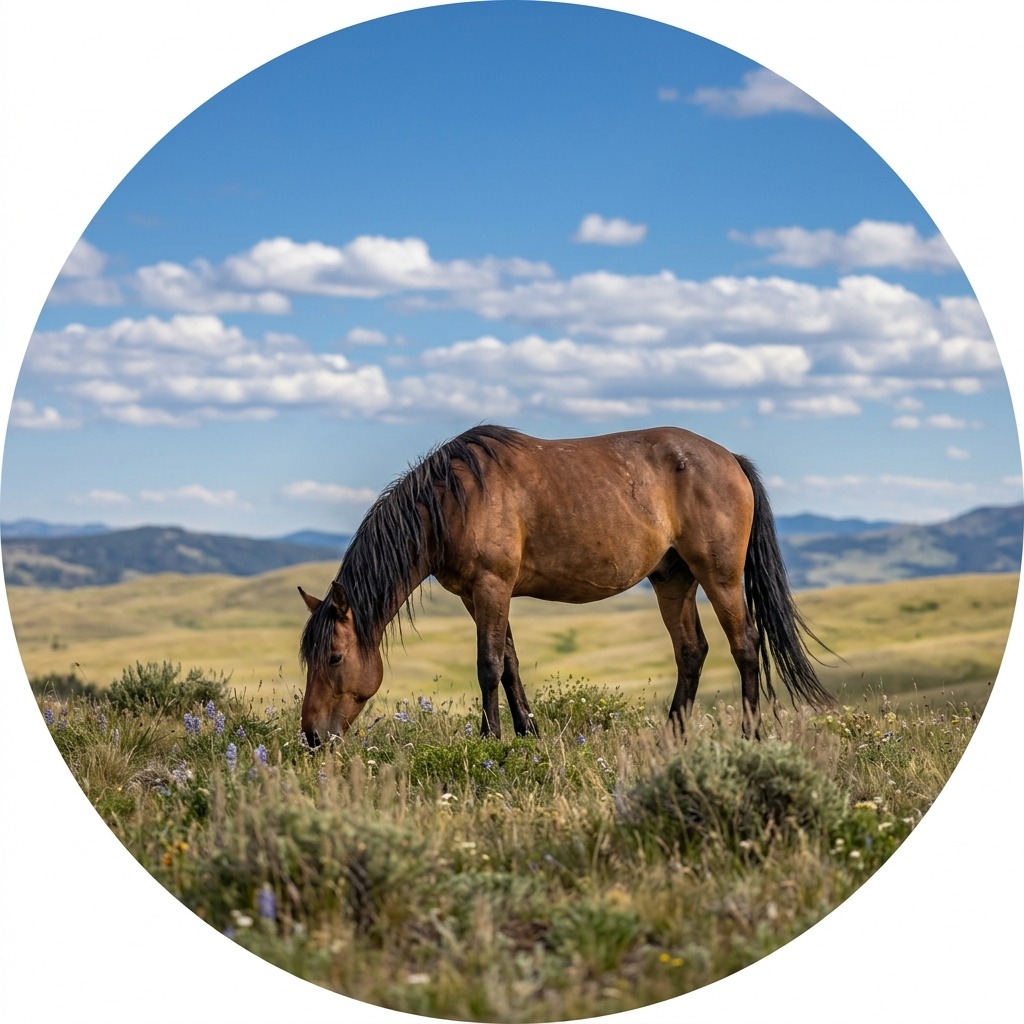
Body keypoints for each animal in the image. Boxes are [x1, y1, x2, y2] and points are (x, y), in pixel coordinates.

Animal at [297, 424, 834, 746]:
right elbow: (510, 663)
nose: (312, 736)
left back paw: (750, 737)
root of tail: (730, 459)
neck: (452, 501)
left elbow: (488, 666)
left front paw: (491, 740)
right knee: (692, 651)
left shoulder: (492, 587)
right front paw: (526, 732)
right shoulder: (480, 596)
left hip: (719, 575)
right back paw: (671, 737)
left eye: (335, 658)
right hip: (672, 578)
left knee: (745, 645)